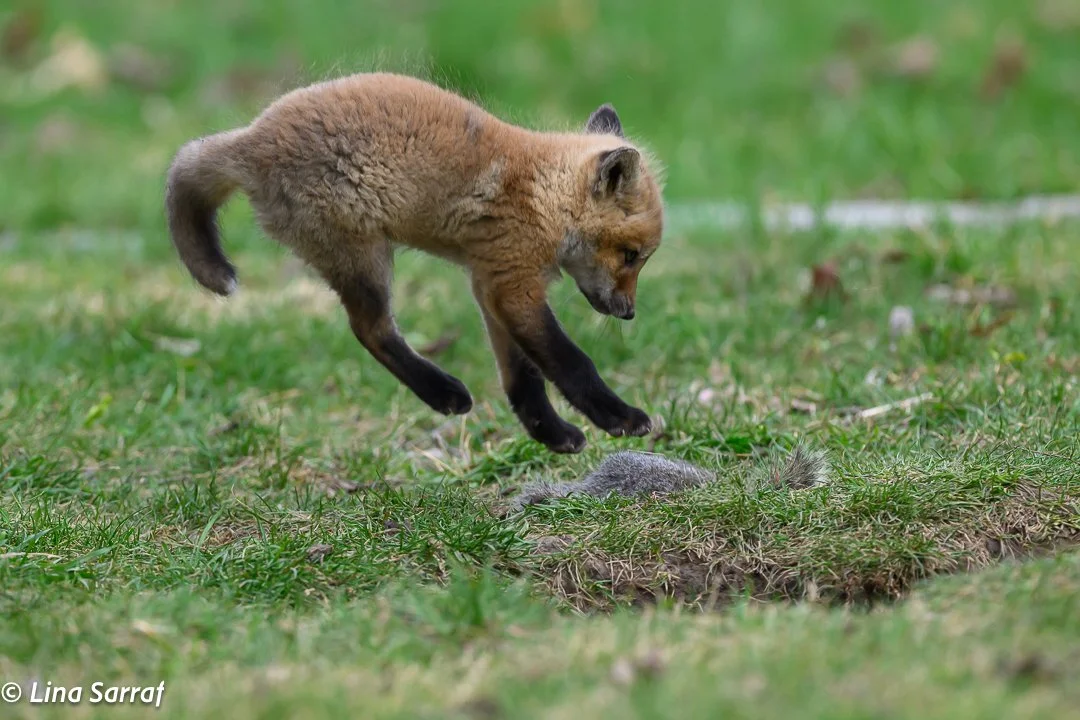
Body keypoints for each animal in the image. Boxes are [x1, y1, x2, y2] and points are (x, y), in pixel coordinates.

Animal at [165, 72, 664, 453]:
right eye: (630, 256)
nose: (628, 313)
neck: (542, 199)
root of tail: (252, 136)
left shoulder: (489, 284)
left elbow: (522, 379)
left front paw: (552, 434)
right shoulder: (514, 285)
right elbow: (572, 363)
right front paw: (619, 417)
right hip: (365, 259)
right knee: (371, 331)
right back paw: (443, 393)